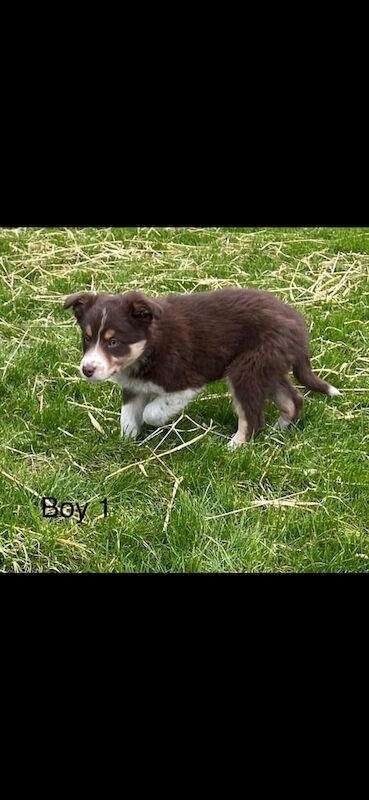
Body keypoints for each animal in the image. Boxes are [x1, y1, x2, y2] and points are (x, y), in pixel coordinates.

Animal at [62, 288, 340, 450]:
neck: (148, 346)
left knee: (253, 417)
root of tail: (297, 324)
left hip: (246, 370)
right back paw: (278, 431)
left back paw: (235, 446)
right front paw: (127, 441)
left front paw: (151, 422)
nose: (87, 370)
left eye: (113, 342)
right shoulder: (133, 387)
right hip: (268, 368)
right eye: (87, 338)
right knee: (293, 400)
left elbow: (152, 411)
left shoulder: (186, 383)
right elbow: (128, 416)